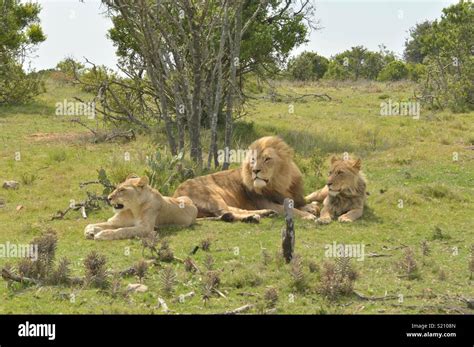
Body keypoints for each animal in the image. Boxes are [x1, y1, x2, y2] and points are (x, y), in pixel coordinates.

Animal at [172, 136, 316, 223]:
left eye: (267, 159)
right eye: (253, 160)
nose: (255, 170)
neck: (279, 184)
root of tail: (175, 195)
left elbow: (298, 203)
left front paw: (310, 208)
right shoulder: (266, 202)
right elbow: (289, 209)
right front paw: (308, 215)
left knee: (235, 210)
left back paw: (264, 214)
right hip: (210, 195)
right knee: (227, 213)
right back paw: (252, 217)